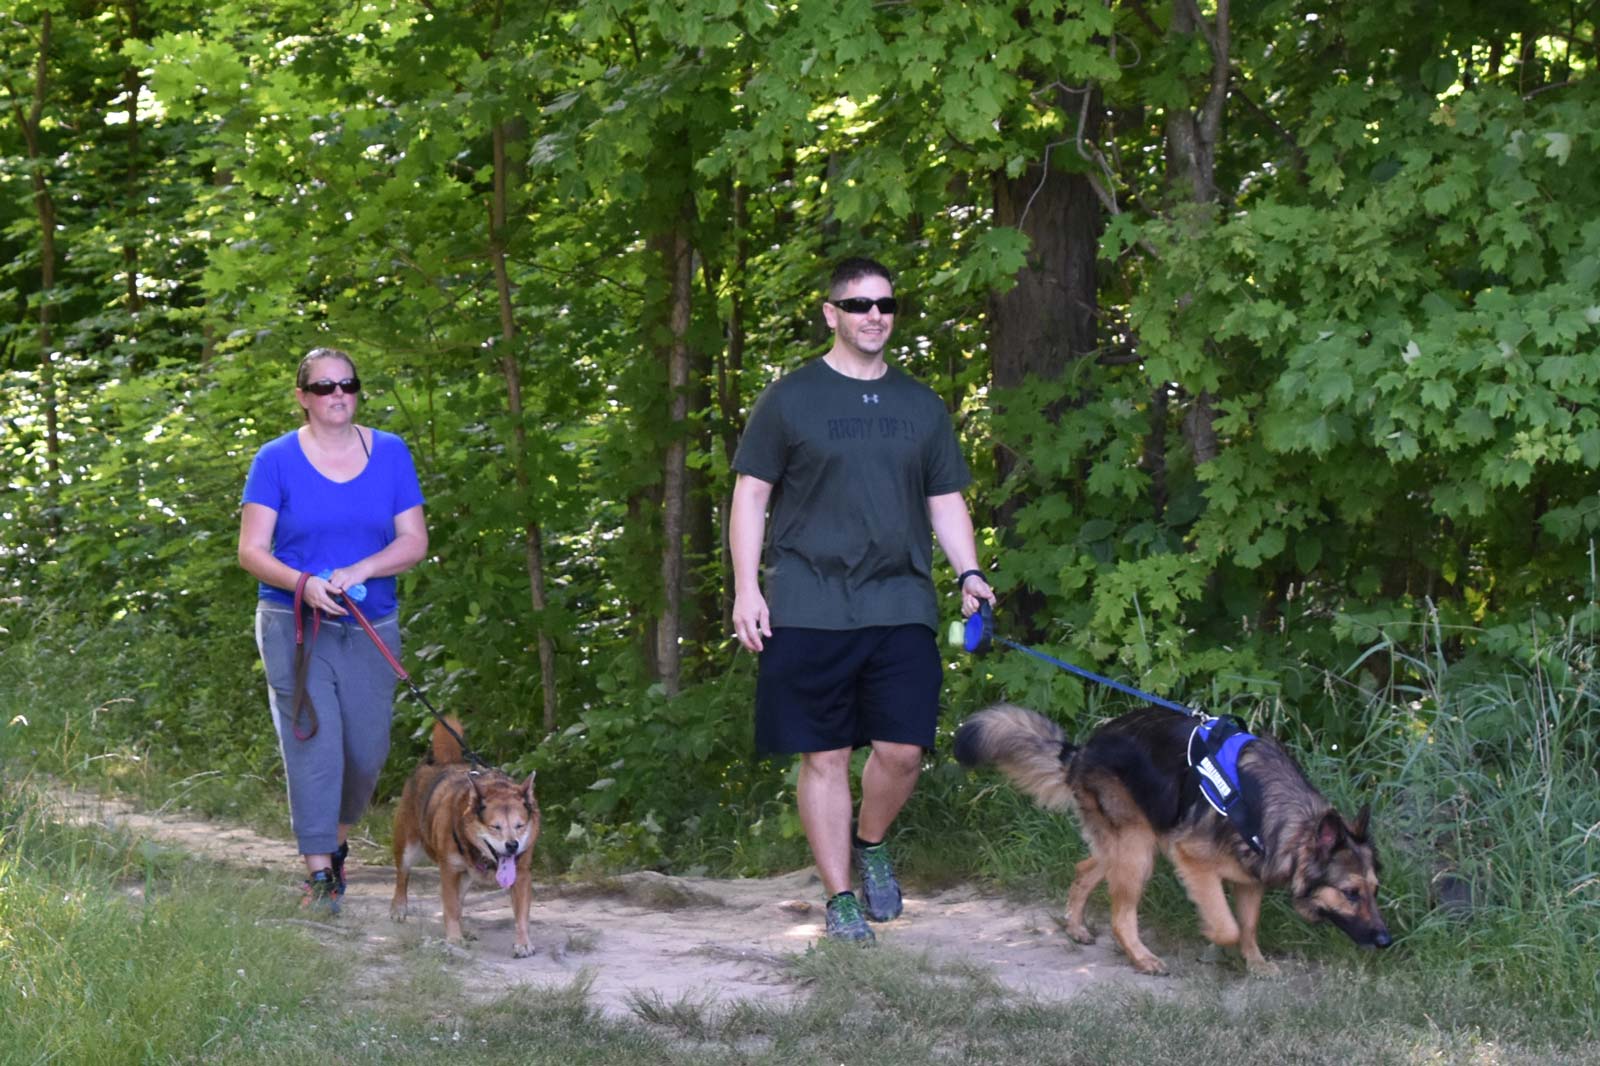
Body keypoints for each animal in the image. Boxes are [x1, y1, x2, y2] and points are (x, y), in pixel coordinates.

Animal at [388, 713, 540, 953]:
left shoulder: (522, 873)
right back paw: (399, 907)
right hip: (408, 845)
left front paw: (523, 942)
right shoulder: (449, 870)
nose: (512, 845)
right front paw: (453, 938)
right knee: (403, 875)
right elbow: (450, 907)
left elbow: (522, 914)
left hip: (467, 874)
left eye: (520, 825)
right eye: (495, 826)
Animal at [953, 701, 1395, 973]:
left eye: (1375, 890)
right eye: (1351, 893)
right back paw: (1141, 958)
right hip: (1139, 850)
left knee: (1085, 868)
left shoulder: (1250, 879)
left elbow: (1249, 926)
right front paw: (1213, 938)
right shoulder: (1193, 861)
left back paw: (1076, 926)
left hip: (1129, 844)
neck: (1279, 814)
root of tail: (1080, 751)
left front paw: (1255, 964)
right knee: (1120, 917)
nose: (1386, 940)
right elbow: (1229, 926)